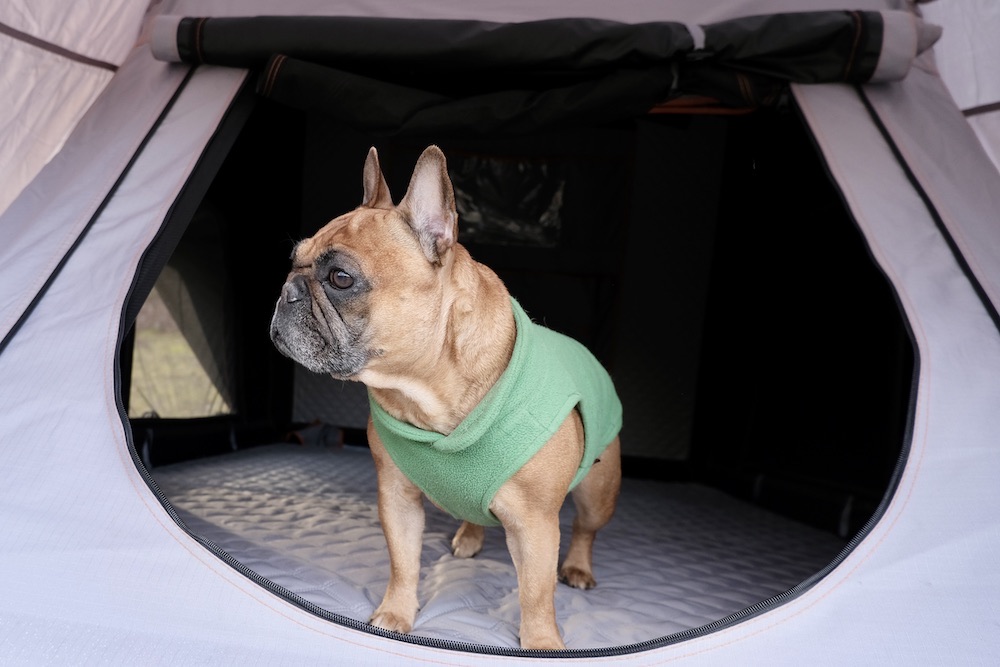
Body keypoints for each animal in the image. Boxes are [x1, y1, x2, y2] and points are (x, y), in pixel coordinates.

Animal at [270, 146, 620, 652]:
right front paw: (395, 614)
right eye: (293, 261)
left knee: (584, 531)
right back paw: (470, 536)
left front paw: (541, 643)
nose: (285, 292)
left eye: (340, 278)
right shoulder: (396, 500)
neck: (426, 390)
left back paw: (577, 566)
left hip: (598, 492)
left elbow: (536, 592)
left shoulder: (536, 524)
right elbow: (403, 563)